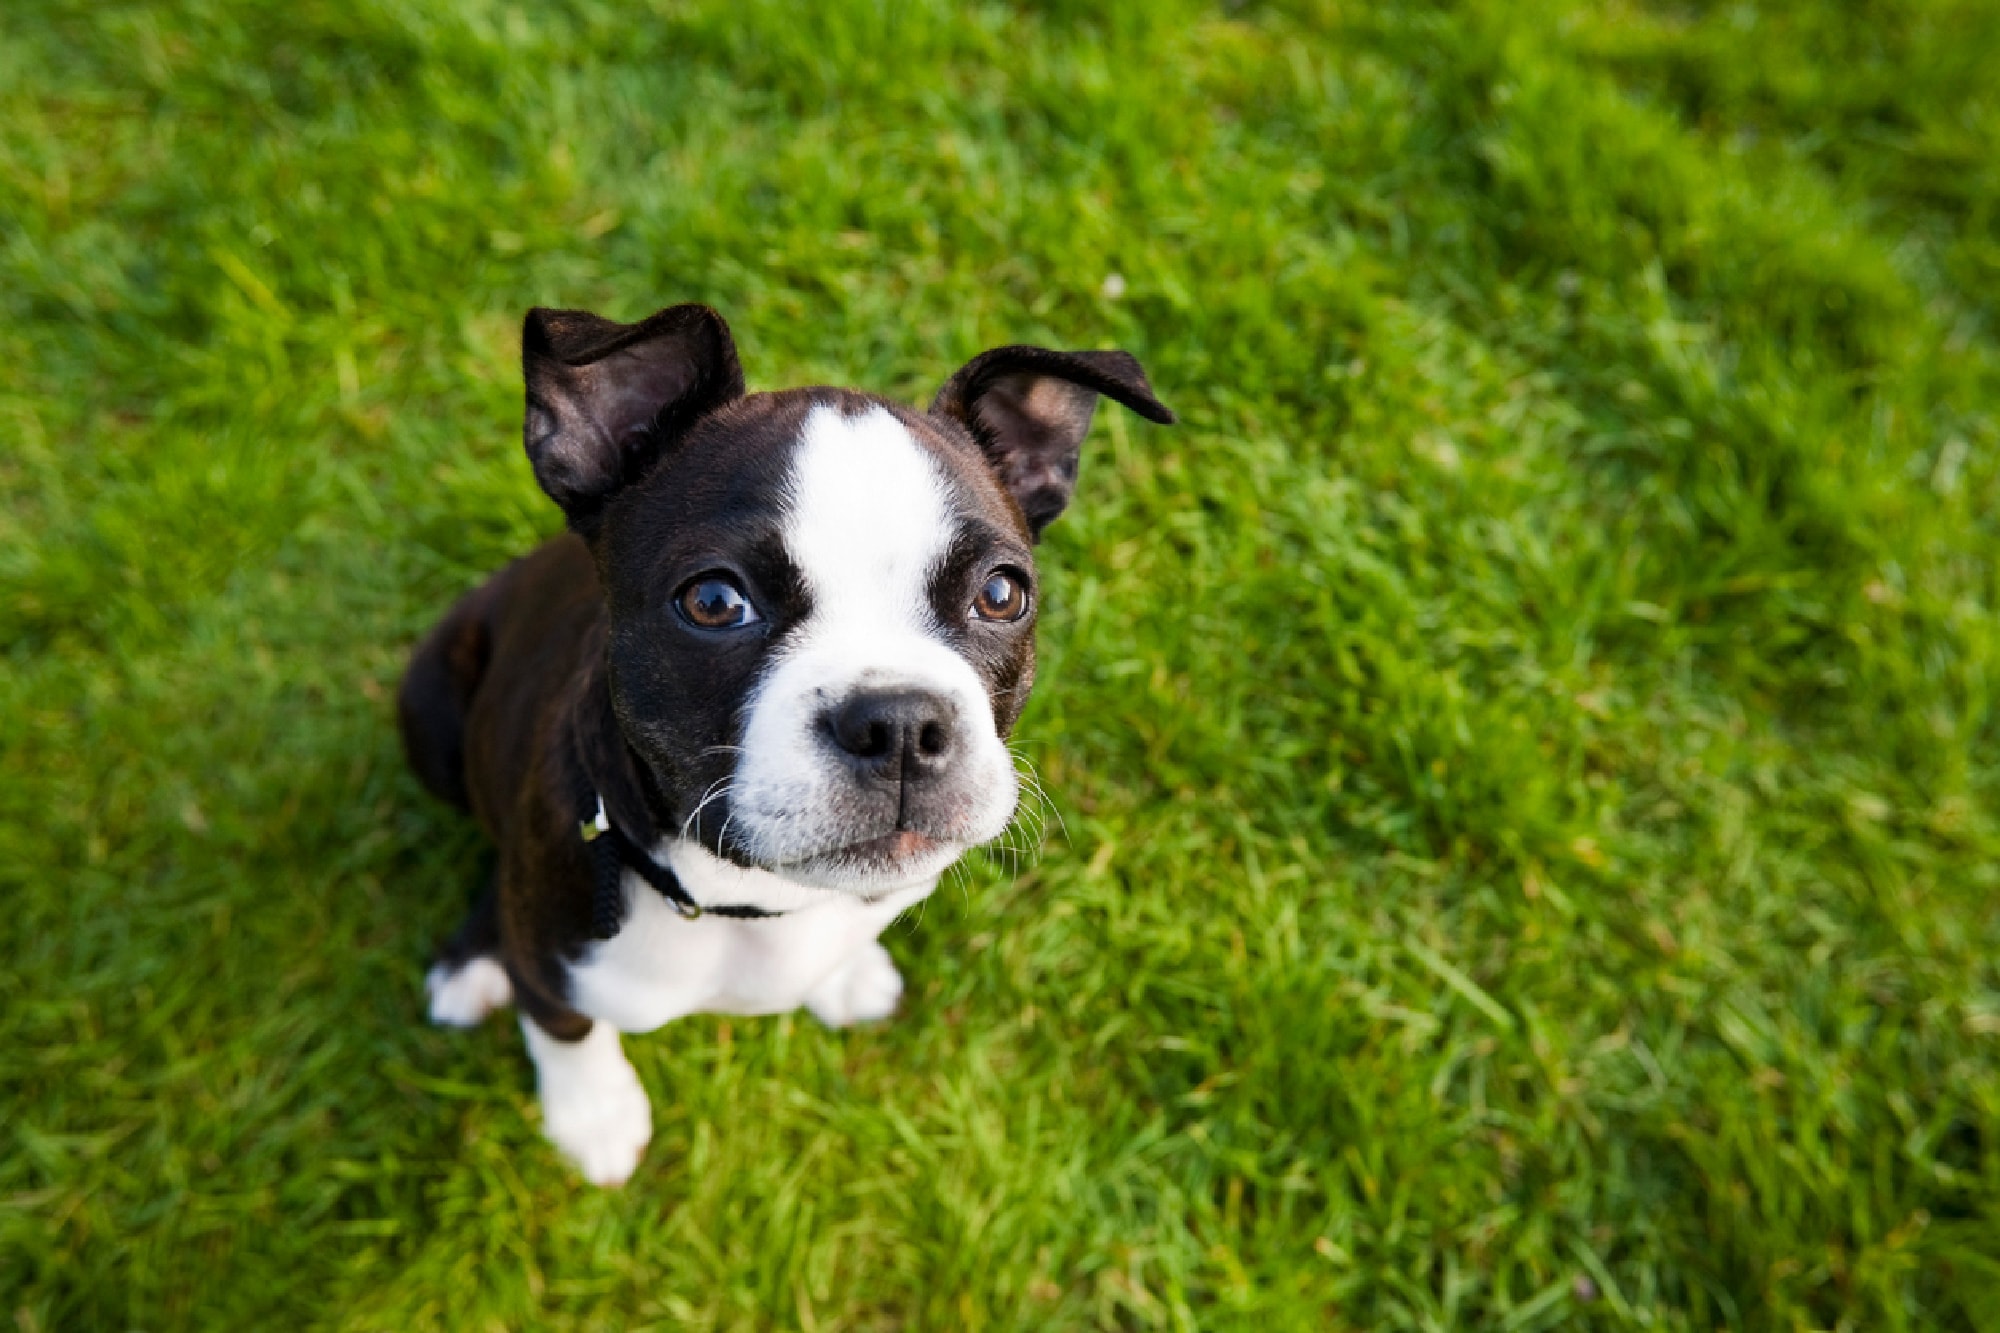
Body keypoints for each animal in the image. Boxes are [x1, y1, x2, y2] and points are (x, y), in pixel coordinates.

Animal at [396, 304, 1168, 1184]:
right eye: (714, 601)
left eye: (1002, 593)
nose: (900, 724)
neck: (754, 901)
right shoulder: (551, 963)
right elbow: (567, 1032)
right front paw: (594, 1118)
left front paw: (848, 972)